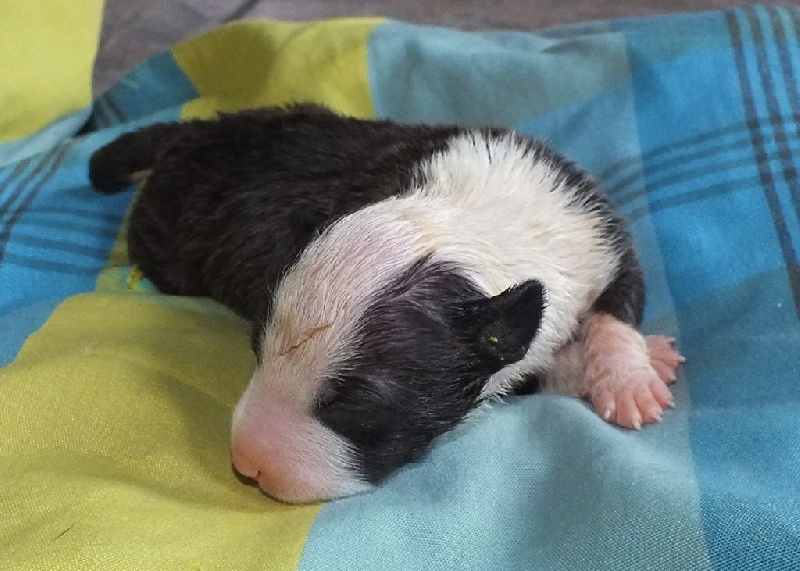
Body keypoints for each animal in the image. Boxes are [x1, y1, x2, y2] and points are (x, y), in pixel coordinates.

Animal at [89, 104, 684, 503]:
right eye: (256, 350)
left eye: (354, 408)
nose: (247, 466)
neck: (471, 227)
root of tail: (195, 131)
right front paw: (598, 369)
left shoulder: (597, 230)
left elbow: (619, 306)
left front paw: (630, 378)